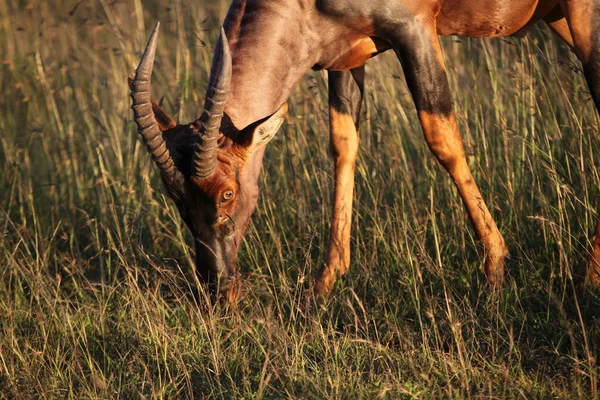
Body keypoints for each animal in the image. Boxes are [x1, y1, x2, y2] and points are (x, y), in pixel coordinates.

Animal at [131, 0, 600, 304]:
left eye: (227, 192)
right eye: (176, 199)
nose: (219, 293)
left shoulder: (415, 31)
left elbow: (442, 139)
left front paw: (495, 271)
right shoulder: (343, 56)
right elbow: (343, 145)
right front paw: (324, 284)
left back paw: (587, 278)